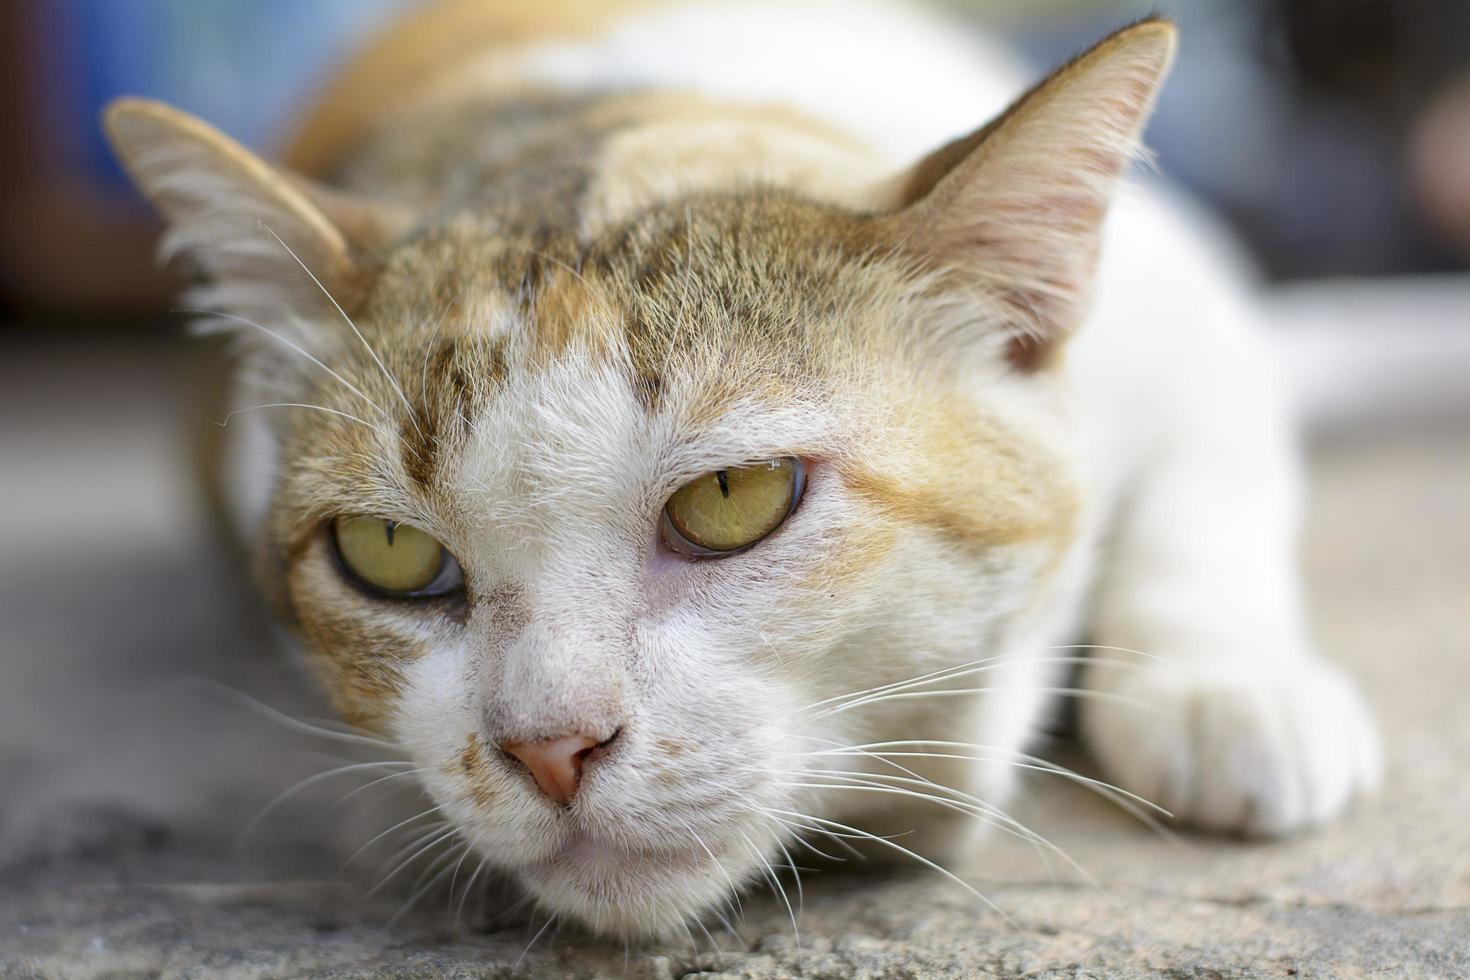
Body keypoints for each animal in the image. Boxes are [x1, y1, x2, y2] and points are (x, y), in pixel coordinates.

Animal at [103, 0, 1375, 940]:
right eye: (388, 551)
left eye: (732, 498)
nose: (549, 747)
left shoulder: (1196, 307)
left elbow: (1213, 477)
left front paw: (1234, 695)